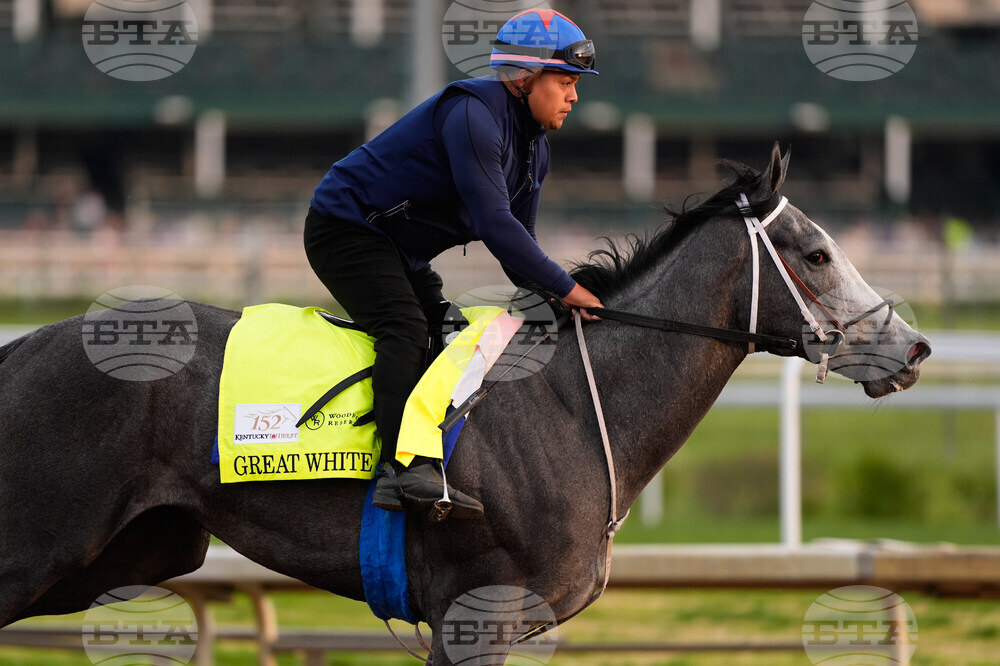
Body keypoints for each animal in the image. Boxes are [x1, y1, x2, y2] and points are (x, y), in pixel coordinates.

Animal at [0, 145, 930, 664]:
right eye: (817, 254)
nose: (915, 347)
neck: (571, 404)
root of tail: (22, 348)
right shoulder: (478, 614)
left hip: (130, 551)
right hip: (45, 546)